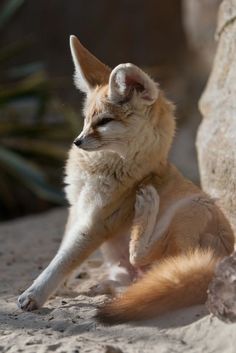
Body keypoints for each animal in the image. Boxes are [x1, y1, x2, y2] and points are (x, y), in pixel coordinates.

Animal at [17, 35, 233, 322]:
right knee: (132, 276)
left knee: (142, 256)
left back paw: (147, 206)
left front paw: (35, 294)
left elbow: (62, 261)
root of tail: (218, 263)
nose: (77, 141)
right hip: (125, 268)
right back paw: (104, 284)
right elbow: (62, 254)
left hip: (190, 209)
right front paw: (59, 287)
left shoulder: (97, 222)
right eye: (86, 120)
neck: (99, 169)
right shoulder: (77, 209)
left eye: (105, 121)